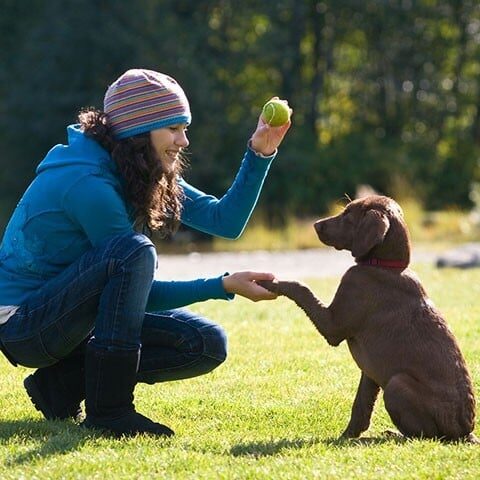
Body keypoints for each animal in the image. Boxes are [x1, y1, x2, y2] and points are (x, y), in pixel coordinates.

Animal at [260, 195, 478, 442]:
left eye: (347, 214)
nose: (316, 225)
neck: (386, 267)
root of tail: (465, 432)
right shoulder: (370, 371)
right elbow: (361, 406)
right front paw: (348, 436)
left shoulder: (333, 325)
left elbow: (301, 288)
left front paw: (271, 282)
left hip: (397, 384)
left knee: (425, 436)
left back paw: (395, 435)